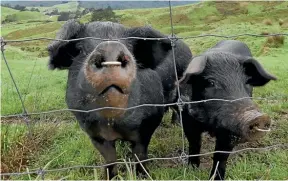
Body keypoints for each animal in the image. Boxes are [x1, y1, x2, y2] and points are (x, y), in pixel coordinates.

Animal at [46, 19, 191, 178]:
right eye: (80, 48)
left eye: (129, 47)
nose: (110, 46)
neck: (112, 123)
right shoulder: (94, 133)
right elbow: (110, 159)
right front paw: (110, 176)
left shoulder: (148, 123)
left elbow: (140, 156)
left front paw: (142, 176)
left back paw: (177, 125)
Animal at [178, 39, 276, 180]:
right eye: (211, 82)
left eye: (246, 82)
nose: (259, 117)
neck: (209, 124)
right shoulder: (187, 120)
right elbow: (194, 144)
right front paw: (192, 170)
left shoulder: (229, 130)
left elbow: (221, 156)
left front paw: (216, 178)